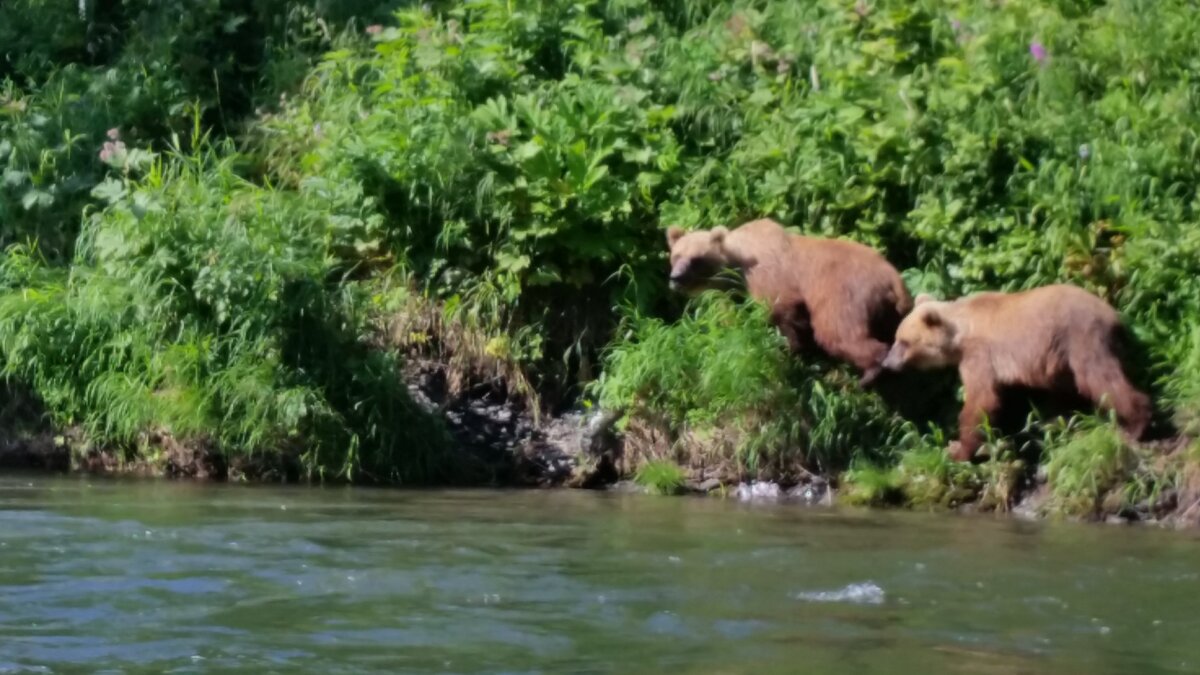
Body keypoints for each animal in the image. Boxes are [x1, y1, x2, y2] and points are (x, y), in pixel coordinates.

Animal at [667, 216, 907, 384]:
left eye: (696, 259)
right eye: (676, 255)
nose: (675, 278)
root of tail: (894, 277)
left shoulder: (769, 277)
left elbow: (783, 313)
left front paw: (789, 350)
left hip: (845, 294)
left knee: (837, 331)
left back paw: (870, 372)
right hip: (887, 312)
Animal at [883, 281, 1152, 458]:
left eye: (903, 342)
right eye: (896, 338)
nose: (887, 363)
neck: (961, 330)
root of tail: (1114, 315)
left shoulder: (980, 355)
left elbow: (981, 400)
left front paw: (958, 448)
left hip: (1081, 337)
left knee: (1099, 378)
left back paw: (1135, 425)